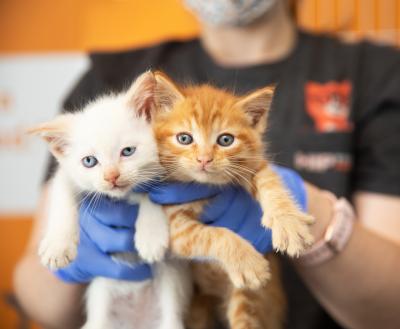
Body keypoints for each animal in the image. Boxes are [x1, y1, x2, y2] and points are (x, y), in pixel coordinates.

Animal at [29, 72, 191, 328]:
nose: (111, 177)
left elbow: (152, 194)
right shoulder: (66, 175)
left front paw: (151, 236)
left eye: (128, 151)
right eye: (89, 161)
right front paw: (57, 246)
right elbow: (62, 196)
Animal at [145, 72, 314, 328]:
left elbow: (270, 182)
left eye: (225, 140)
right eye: (184, 138)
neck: (205, 186)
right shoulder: (172, 226)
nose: (204, 159)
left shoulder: (252, 165)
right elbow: (213, 234)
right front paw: (247, 261)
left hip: (249, 297)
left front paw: (289, 222)